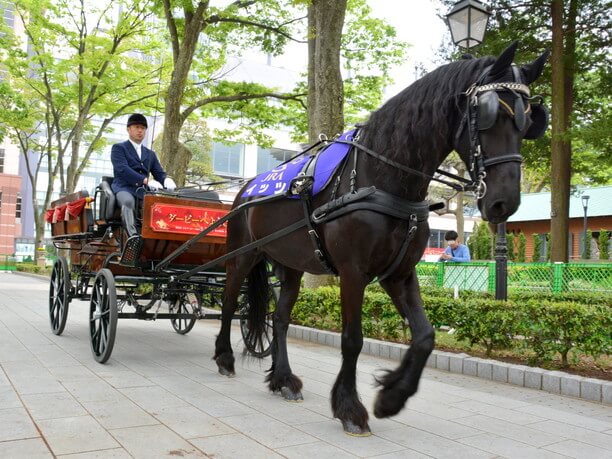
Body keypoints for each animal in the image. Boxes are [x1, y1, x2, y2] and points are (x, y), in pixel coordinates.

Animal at [215, 42, 548, 434]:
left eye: (529, 121)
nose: (503, 202)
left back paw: (283, 378)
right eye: (488, 113)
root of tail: (246, 190)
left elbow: (425, 336)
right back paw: (224, 357)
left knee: (280, 319)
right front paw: (349, 407)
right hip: (244, 256)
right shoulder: (353, 272)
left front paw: (392, 395)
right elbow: (352, 339)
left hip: (291, 263)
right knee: (228, 301)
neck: (382, 176)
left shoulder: (399, 273)